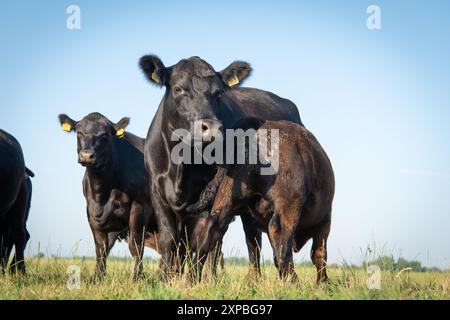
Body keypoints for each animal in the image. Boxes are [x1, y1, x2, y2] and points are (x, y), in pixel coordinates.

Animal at [58, 114, 158, 278]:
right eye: (79, 132)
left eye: (105, 135)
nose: (86, 155)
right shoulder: (92, 212)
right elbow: (101, 247)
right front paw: (98, 277)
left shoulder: (140, 207)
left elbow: (135, 244)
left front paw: (136, 277)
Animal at [139, 55, 304, 278]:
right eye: (179, 88)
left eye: (218, 93)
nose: (211, 128)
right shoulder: (157, 191)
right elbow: (170, 239)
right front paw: (166, 278)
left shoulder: (213, 194)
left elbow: (205, 240)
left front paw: (198, 279)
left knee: (253, 242)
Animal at [192, 119, 334, 284]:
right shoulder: (324, 221)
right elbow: (319, 254)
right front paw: (323, 283)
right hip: (289, 204)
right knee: (279, 233)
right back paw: (293, 281)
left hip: (227, 198)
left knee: (213, 228)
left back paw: (193, 276)